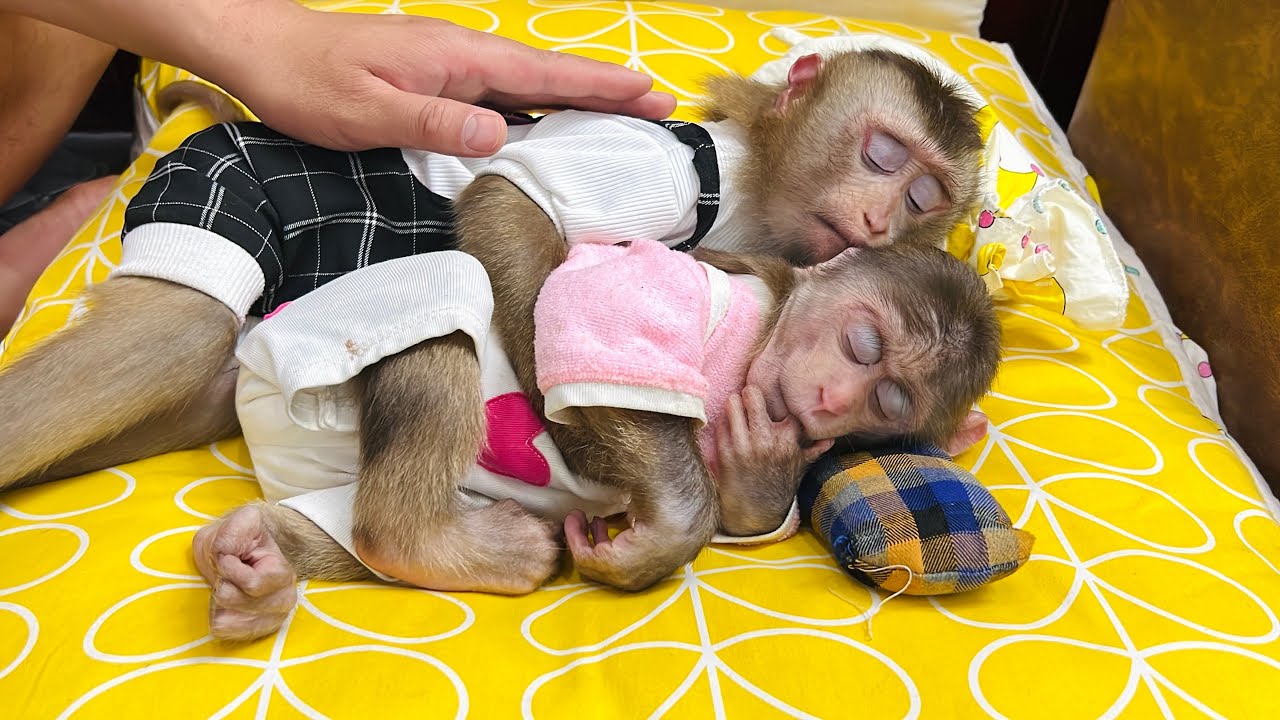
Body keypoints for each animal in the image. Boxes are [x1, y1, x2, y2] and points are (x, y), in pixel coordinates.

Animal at [0, 48, 987, 628]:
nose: (877, 218)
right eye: (883, 156)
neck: (753, 193)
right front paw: (593, 443)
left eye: (921, 199)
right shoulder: (667, 164)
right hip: (224, 184)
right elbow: (517, 205)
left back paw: (256, 566)